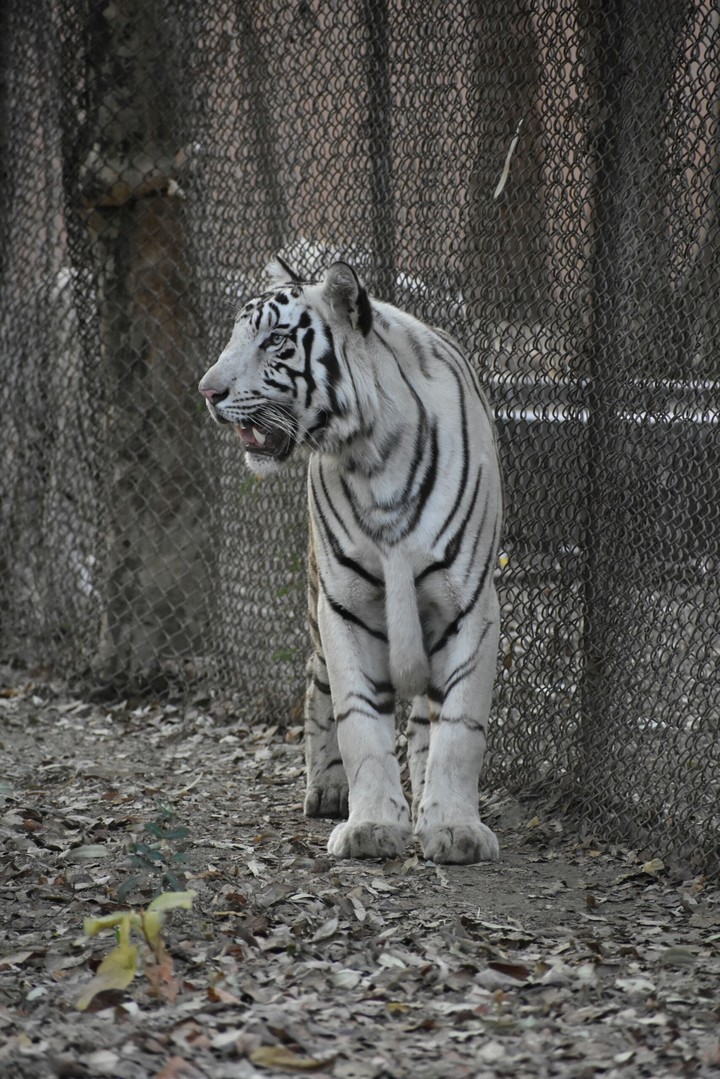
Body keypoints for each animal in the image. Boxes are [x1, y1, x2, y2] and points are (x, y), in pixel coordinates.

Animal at [199, 259, 503, 864]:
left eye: (275, 341)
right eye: (236, 336)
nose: (208, 391)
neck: (372, 455)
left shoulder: (469, 606)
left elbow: (458, 728)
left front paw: (454, 828)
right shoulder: (347, 607)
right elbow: (359, 719)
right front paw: (372, 826)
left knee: (427, 718)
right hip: (318, 607)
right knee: (317, 685)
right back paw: (328, 790)